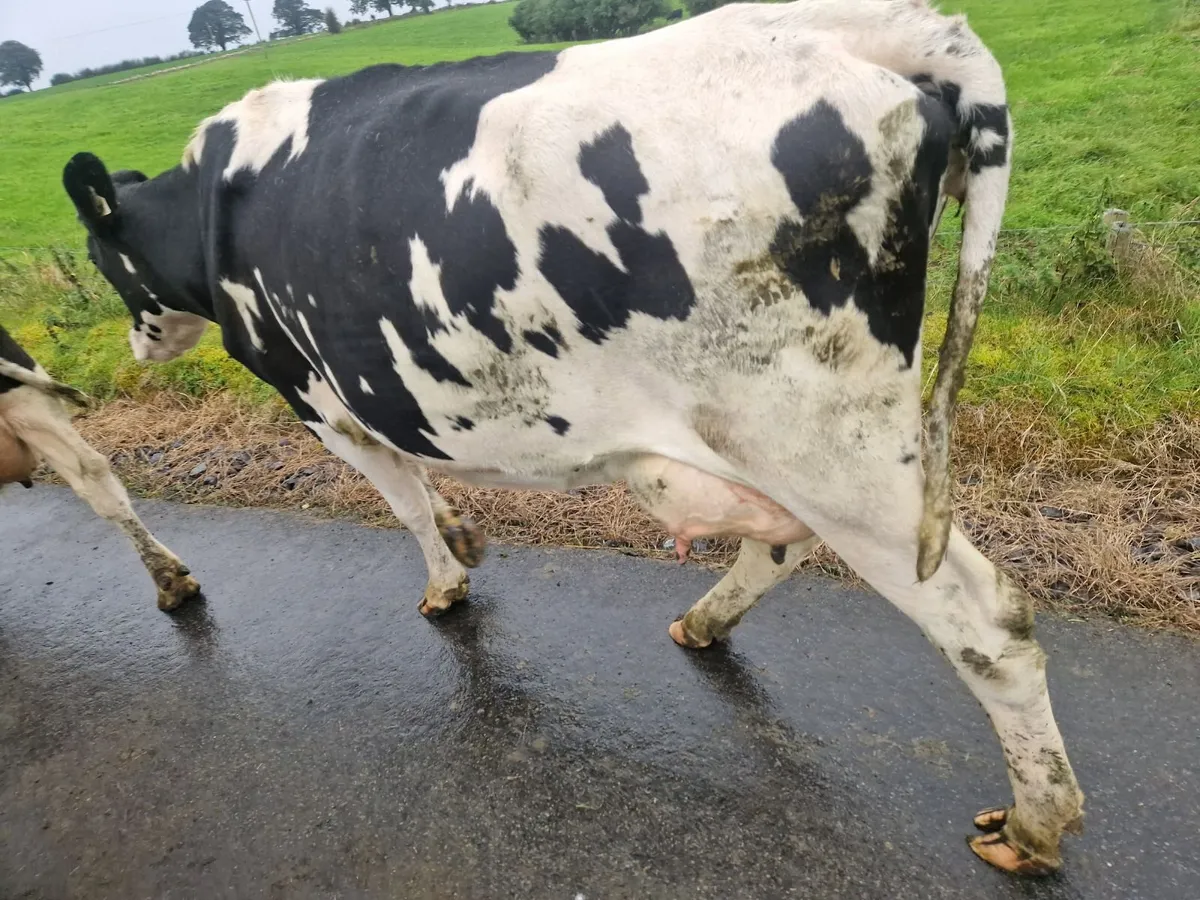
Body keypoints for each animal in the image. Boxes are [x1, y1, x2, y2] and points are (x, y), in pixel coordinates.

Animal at [60, 0, 1084, 875]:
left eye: (104, 255)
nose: (137, 343)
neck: (212, 206)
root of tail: (875, 28)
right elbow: (425, 494)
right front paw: (466, 540)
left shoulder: (319, 400)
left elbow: (403, 501)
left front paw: (446, 580)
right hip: (784, 439)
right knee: (785, 545)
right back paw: (704, 623)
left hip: (822, 434)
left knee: (986, 620)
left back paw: (1032, 825)